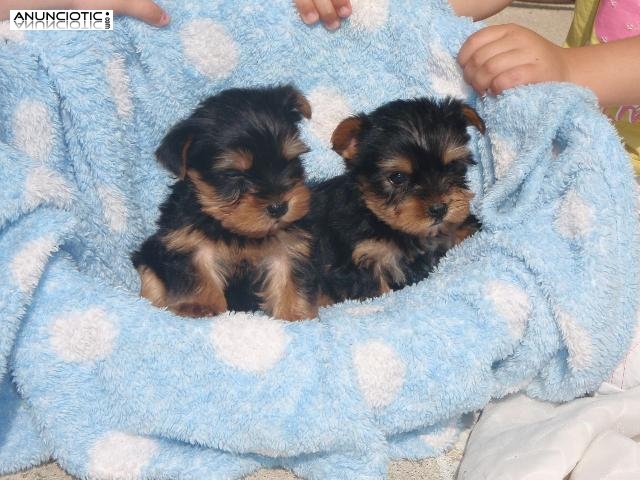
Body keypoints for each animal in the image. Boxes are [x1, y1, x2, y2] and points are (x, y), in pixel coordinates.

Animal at [132, 85, 318, 320]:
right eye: (233, 174)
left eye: (290, 161)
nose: (279, 207)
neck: (237, 231)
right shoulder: (185, 240)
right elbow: (197, 271)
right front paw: (199, 305)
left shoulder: (289, 244)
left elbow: (290, 275)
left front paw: (295, 314)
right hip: (148, 255)